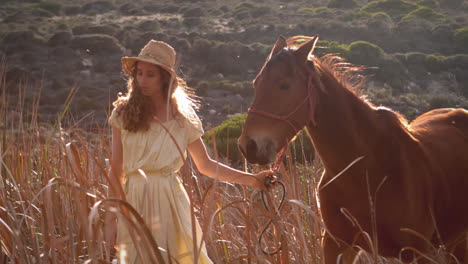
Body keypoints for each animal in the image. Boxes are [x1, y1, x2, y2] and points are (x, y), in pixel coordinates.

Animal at [239, 35, 466, 264]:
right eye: (256, 83)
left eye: (284, 85)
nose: (249, 146)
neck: (367, 169)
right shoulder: (338, 245)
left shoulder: (418, 252)